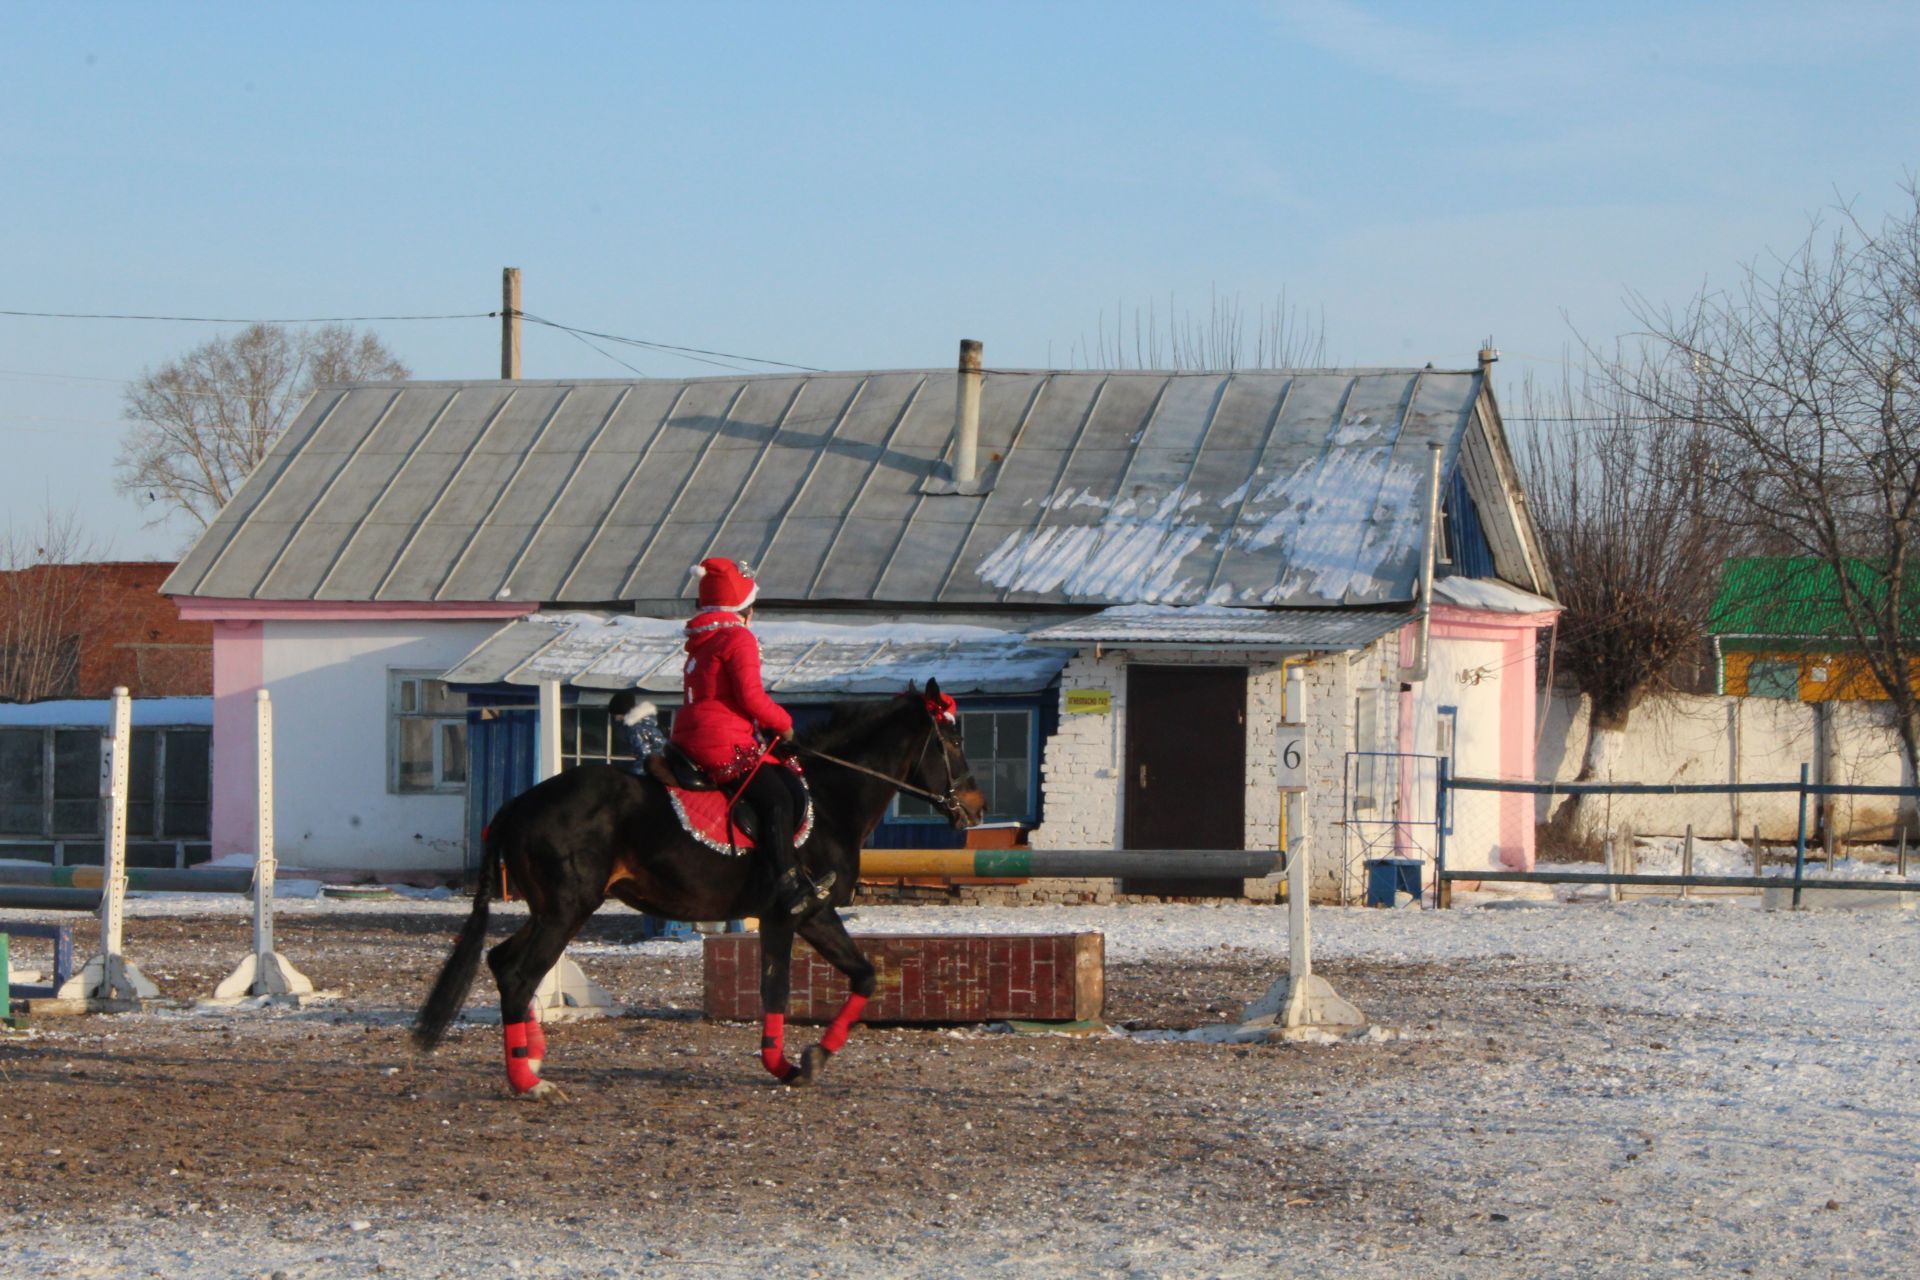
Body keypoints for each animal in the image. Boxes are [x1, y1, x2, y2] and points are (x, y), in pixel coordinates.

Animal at [412, 679, 983, 1105]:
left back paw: (530, 1056)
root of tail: (521, 803)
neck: (829, 795)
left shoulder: (791, 917)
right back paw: (529, 1082)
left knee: (504, 962)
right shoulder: (802, 912)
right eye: (952, 741)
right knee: (519, 975)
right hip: (566, 910)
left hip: (549, 910)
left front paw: (799, 1061)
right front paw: (797, 1061)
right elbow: (796, 986)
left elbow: (845, 979)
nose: (976, 807)